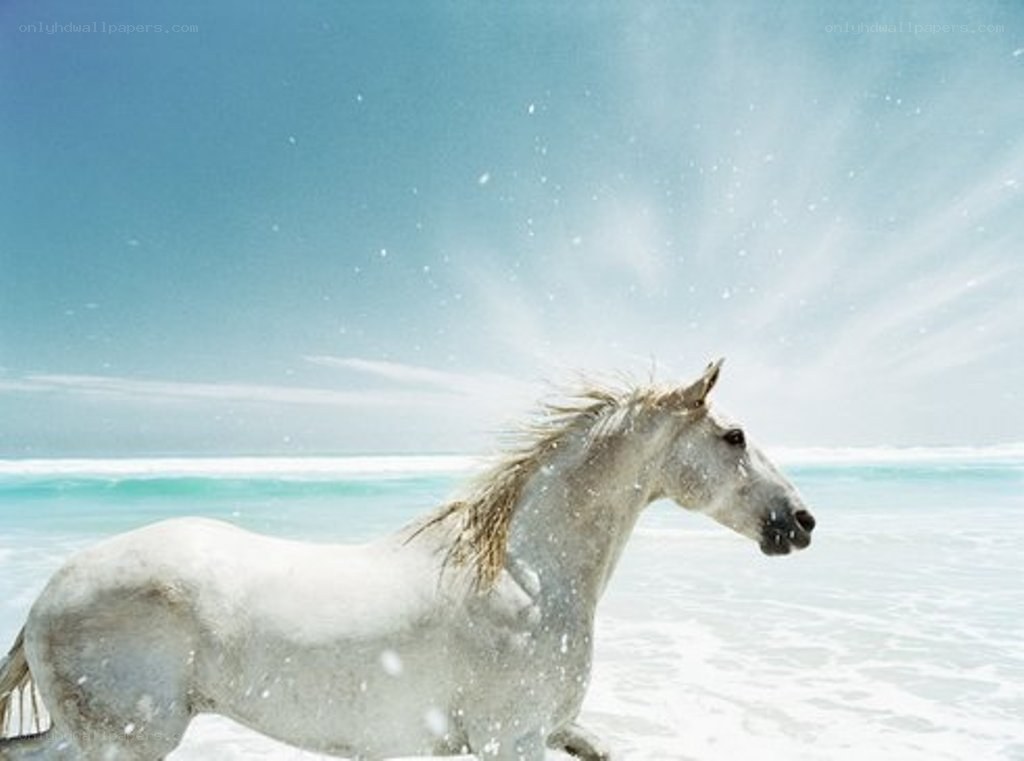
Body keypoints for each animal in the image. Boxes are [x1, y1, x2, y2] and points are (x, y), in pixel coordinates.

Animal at [0, 359, 815, 760]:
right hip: (127, 744)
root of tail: (48, 595)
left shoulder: (551, 733)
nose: (801, 522)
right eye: (735, 436)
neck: (528, 577)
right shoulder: (510, 743)